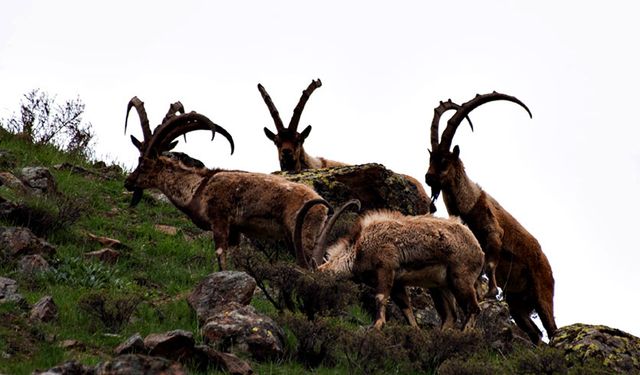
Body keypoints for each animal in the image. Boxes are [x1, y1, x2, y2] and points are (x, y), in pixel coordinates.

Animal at [126, 97, 336, 270]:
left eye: (143, 163)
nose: (128, 182)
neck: (197, 187)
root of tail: (323, 206)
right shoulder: (236, 231)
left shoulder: (220, 221)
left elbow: (221, 258)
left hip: (302, 234)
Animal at [296, 201, 484, 330]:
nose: (308, 302)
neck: (359, 250)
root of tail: (478, 249)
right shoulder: (398, 284)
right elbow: (406, 309)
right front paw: (416, 331)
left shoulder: (385, 268)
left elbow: (380, 298)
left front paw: (376, 326)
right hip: (439, 287)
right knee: (450, 315)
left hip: (460, 279)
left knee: (474, 309)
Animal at [428, 92, 556, 346]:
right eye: (430, 159)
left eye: (444, 160)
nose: (428, 178)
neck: (468, 204)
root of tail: (549, 267)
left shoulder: (493, 233)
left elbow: (491, 261)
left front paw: (491, 292)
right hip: (518, 304)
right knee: (535, 332)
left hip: (543, 294)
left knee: (552, 327)